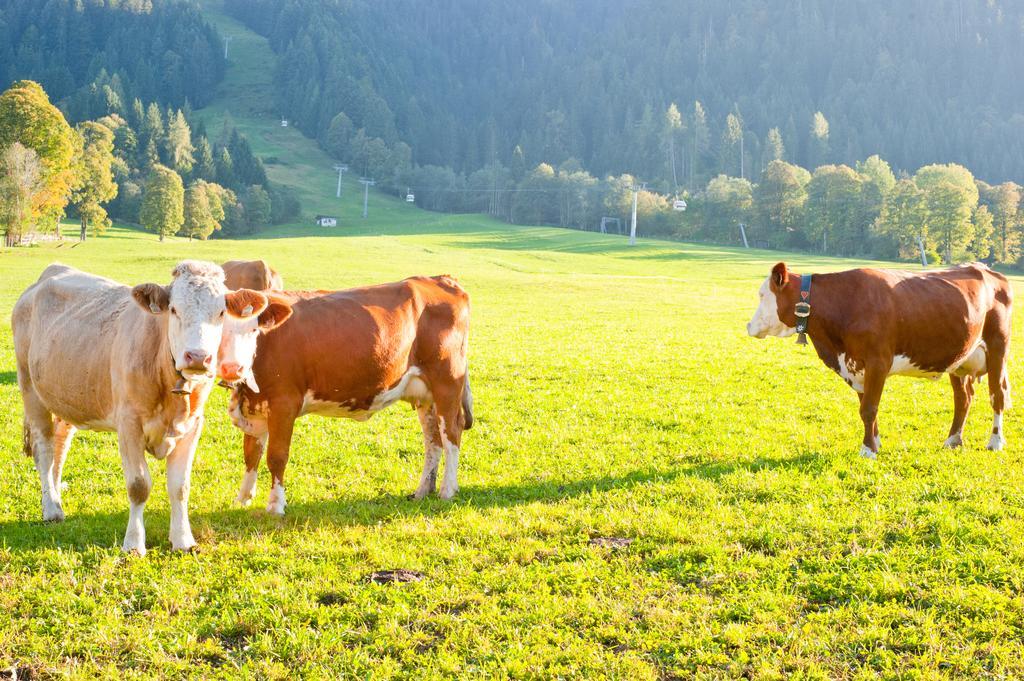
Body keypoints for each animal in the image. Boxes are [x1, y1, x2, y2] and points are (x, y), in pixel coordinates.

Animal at [12, 260, 268, 552]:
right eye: (174, 309)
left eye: (221, 313)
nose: (198, 357)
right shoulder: (129, 423)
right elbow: (138, 485)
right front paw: (134, 543)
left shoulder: (193, 424)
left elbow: (180, 486)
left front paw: (183, 539)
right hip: (30, 389)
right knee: (44, 449)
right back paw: (51, 509)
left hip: (66, 396)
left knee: (60, 445)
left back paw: (56, 496)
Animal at [218, 274, 473, 512]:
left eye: (253, 330)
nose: (234, 368)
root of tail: (440, 278)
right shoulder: (254, 406)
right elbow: (251, 455)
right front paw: (242, 499)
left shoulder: (284, 403)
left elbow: (276, 456)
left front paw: (275, 505)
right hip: (425, 395)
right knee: (433, 440)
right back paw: (422, 491)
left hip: (447, 381)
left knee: (452, 432)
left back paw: (447, 490)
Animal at [749, 260, 1011, 456]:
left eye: (762, 295)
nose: (748, 326)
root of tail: (985, 268)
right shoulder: (856, 367)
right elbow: (865, 406)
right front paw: (875, 443)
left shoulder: (878, 362)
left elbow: (869, 408)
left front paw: (868, 450)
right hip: (960, 358)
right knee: (963, 398)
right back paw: (953, 439)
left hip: (998, 347)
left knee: (996, 395)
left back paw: (995, 442)